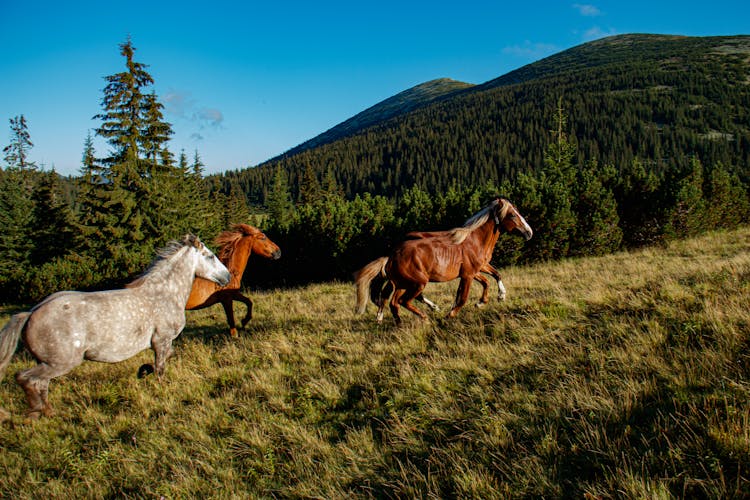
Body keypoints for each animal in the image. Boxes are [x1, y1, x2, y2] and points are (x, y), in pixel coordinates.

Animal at [0, 235, 229, 422]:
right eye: (210, 256)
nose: (227, 276)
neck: (164, 293)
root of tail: (31, 313)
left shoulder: (161, 343)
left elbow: (165, 358)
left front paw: (143, 370)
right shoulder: (162, 340)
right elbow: (161, 368)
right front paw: (157, 384)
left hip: (46, 361)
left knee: (40, 383)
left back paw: (47, 412)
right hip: (61, 362)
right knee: (25, 378)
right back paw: (35, 411)